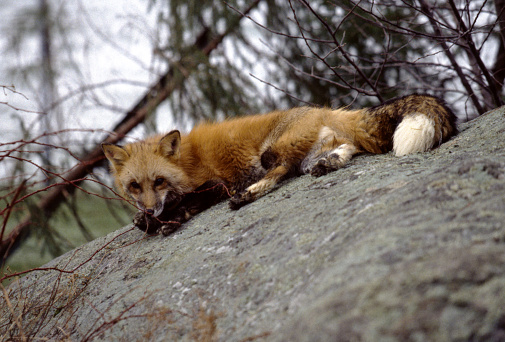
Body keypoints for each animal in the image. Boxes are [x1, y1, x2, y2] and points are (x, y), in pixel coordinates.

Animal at [102, 94, 456, 235]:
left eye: (159, 181)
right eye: (134, 186)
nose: (150, 209)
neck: (187, 163)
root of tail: (324, 109)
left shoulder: (216, 183)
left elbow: (189, 201)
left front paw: (168, 220)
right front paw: (147, 220)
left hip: (269, 153)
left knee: (281, 170)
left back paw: (248, 195)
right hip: (310, 154)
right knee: (348, 148)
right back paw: (331, 163)